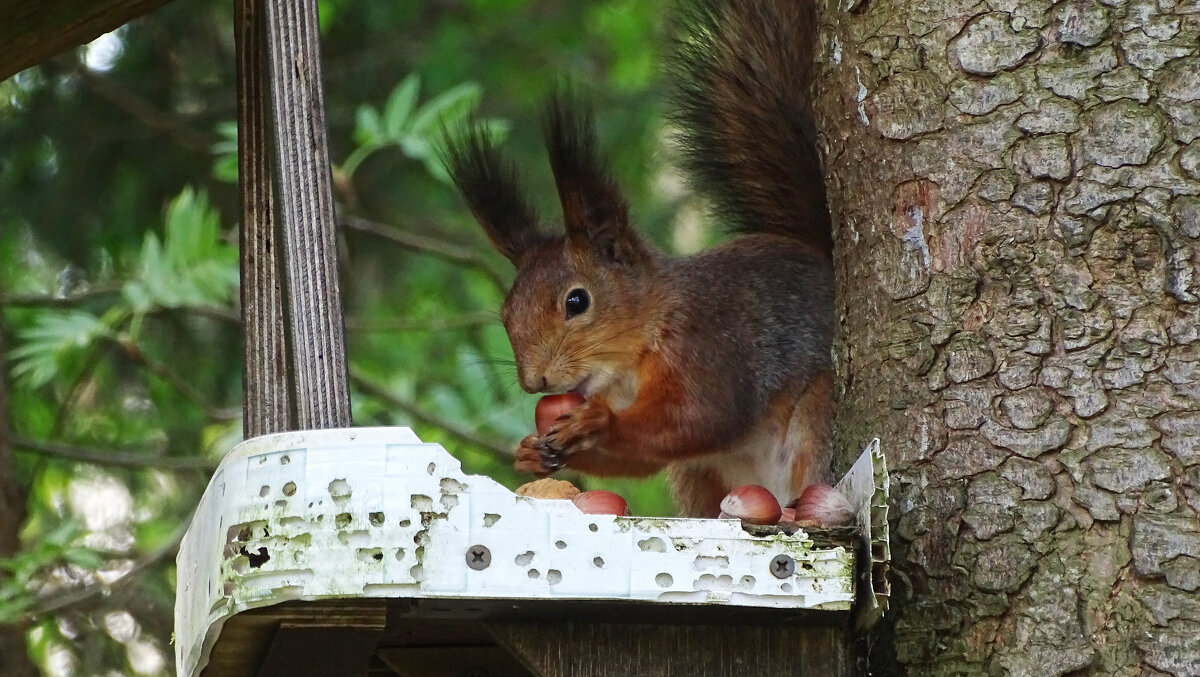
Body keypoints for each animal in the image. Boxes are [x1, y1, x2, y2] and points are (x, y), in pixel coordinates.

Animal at [446, 1, 830, 518]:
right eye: (506, 313)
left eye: (576, 302)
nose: (535, 381)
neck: (629, 364)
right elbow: (641, 460)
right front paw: (532, 452)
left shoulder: (711, 348)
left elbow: (699, 419)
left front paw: (599, 423)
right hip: (697, 475)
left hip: (819, 417)